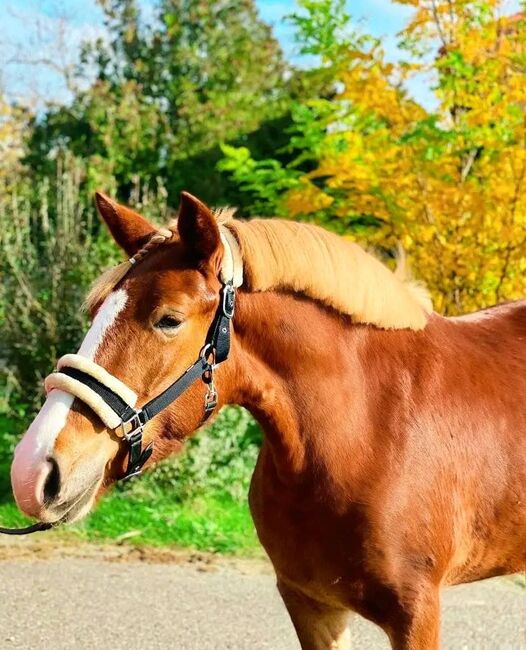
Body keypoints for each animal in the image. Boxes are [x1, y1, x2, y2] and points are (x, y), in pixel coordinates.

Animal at [9, 192, 526, 648]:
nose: (34, 470)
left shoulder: (415, 614)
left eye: (169, 319)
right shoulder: (310, 604)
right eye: (97, 310)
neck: (367, 431)